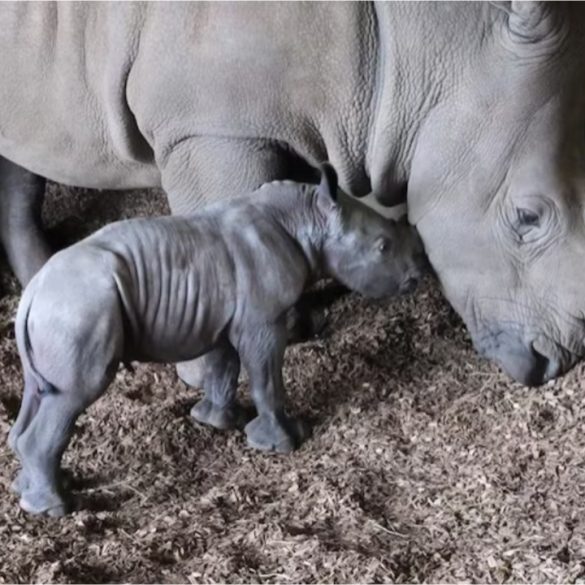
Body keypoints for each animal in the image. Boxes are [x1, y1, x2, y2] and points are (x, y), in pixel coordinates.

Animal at [1, 3, 584, 388]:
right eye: (527, 217)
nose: (556, 361)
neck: (417, 47)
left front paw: (298, 323)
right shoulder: (208, 125)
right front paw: (209, 379)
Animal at [8, 162, 424, 512]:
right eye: (383, 247)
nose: (416, 277)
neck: (308, 219)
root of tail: (32, 293)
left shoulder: (223, 318)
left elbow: (224, 367)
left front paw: (217, 421)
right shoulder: (262, 321)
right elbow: (266, 378)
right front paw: (285, 441)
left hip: (59, 315)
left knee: (40, 391)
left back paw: (34, 490)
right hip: (77, 312)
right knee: (76, 393)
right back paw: (56, 509)